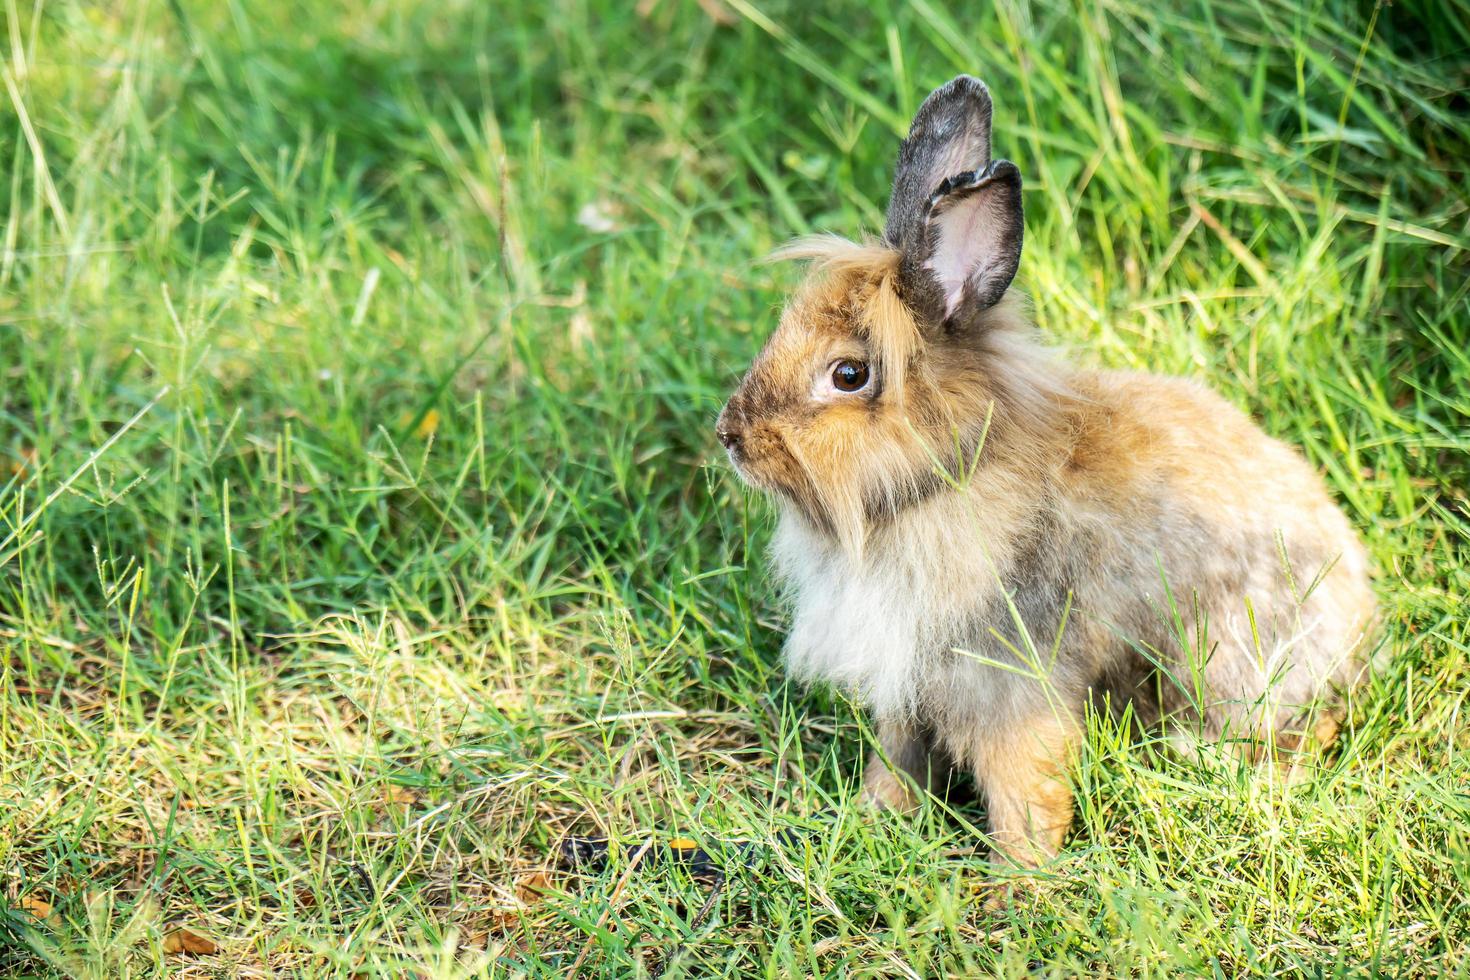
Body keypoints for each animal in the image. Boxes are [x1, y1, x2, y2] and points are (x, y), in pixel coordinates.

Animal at [717, 76, 1381, 869]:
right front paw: (877, 817)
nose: (730, 436)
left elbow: (1023, 788)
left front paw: (1017, 877)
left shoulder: (1010, 682)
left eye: (849, 375)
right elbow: (899, 761)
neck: (951, 476)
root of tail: (1360, 607)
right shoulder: (911, 686)